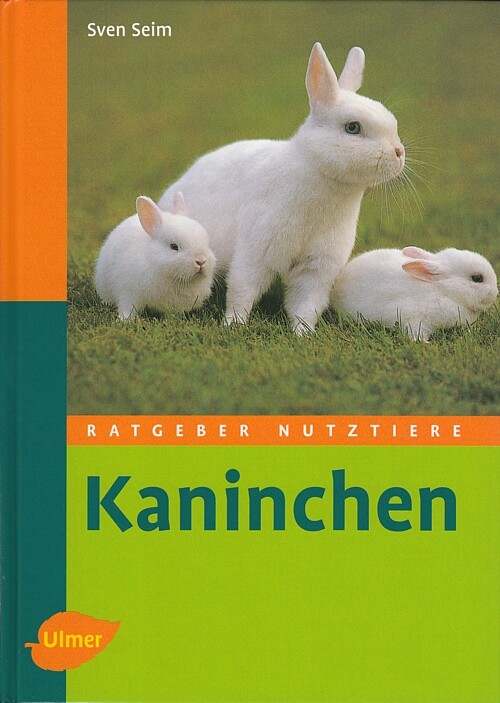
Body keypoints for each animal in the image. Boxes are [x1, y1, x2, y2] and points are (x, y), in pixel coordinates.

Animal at [159, 43, 405, 334]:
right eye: (353, 127)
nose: (399, 152)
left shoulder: (316, 268)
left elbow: (306, 304)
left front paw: (304, 334)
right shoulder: (256, 252)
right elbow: (242, 290)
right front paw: (234, 324)